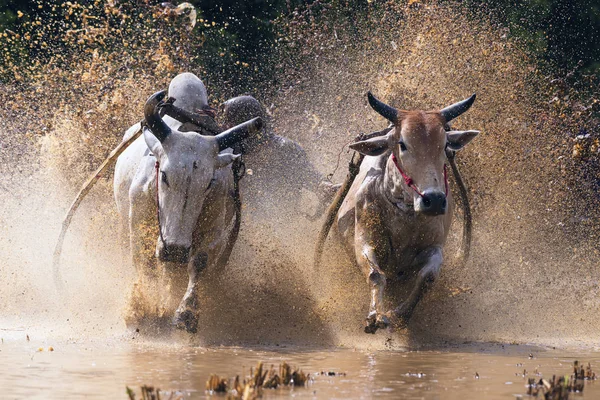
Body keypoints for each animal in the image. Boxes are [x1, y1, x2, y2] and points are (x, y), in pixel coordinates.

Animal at [338, 92, 478, 332]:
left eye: (444, 145)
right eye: (402, 144)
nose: (434, 200)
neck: (405, 214)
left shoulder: (435, 247)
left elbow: (428, 277)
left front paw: (399, 315)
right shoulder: (364, 240)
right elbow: (376, 275)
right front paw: (375, 315)